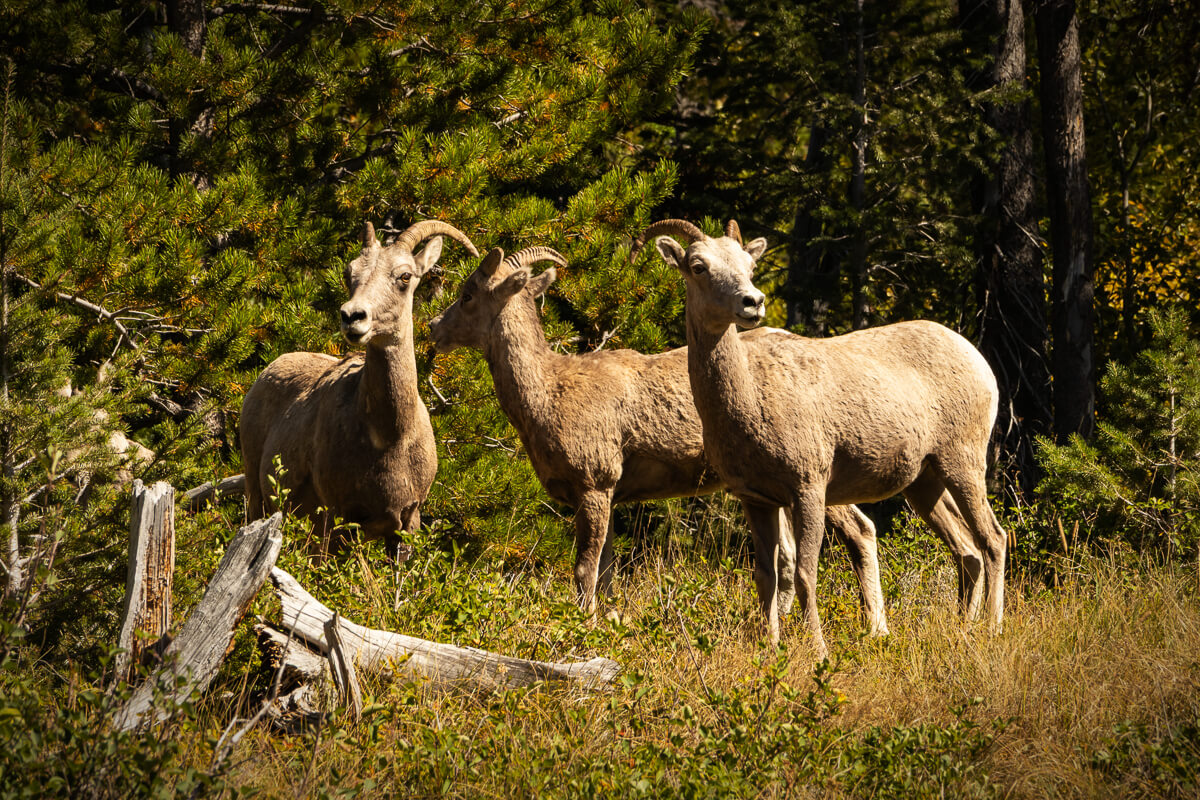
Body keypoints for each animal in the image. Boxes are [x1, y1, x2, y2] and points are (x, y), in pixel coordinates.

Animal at [239, 219, 477, 552]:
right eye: (348, 272)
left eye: (405, 276)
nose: (352, 316)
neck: (390, 438)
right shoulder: (337, 519)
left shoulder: (407, 521)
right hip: (258, 496)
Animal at [428, 245, 888, 633]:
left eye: (468, 294)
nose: (434, 326)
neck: (547, 393)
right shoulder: (608, 493)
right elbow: (606, 573)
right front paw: (606, 625)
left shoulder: (594, 481)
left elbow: (584, 570)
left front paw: (581, 628)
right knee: (818, 545)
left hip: (813, 471)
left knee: (858, 530)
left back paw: (872, 630)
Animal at [636, 218, 1007, 656]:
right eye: (698, 266)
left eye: (749, 264)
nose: (753, 302)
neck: (749, 404)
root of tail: (979, 362)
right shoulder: (756, 499)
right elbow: (766, 578)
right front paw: (770, 648)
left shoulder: (808, 487)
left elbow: (805, 573)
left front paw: (817, 650)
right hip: (924, 482)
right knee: (966, 551)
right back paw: (962, 629)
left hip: (963, 461)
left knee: (994, 539)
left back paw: (992, 630)